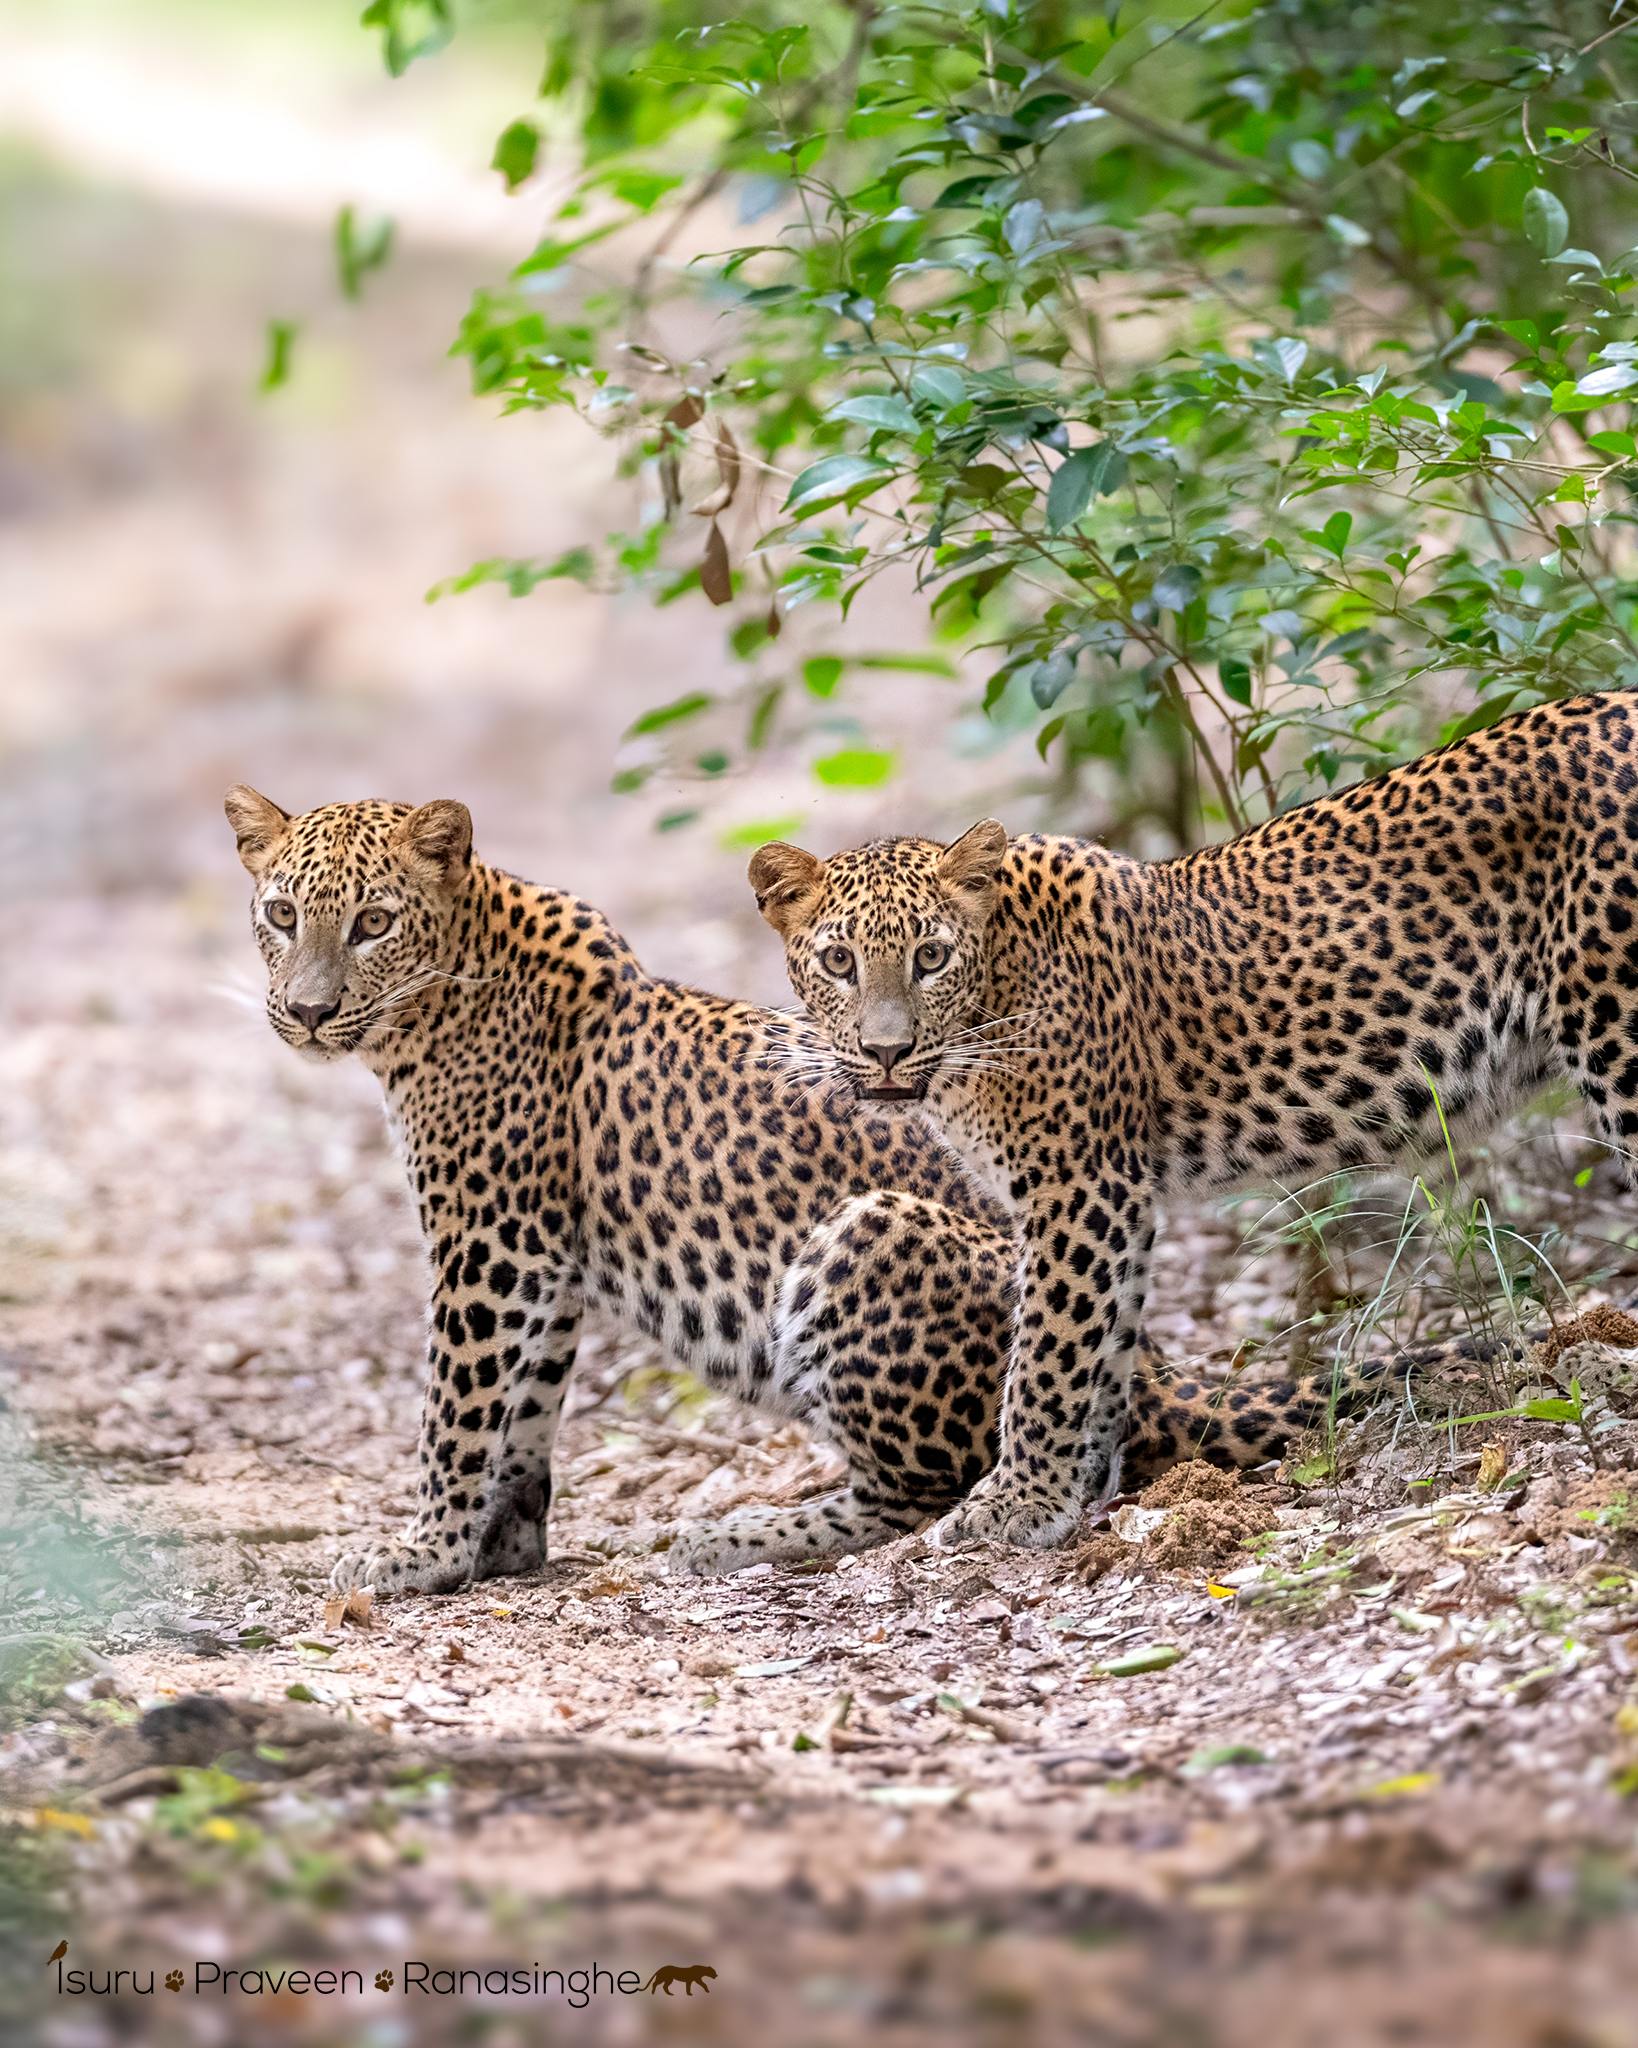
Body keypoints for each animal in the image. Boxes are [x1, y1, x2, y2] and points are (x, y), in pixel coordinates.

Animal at [223, 785, 1421, 1591]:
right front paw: (502, 1548)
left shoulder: (492, 1241)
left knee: (928, 1487)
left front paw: (419, 1553)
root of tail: (1171, 1378)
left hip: (870, 1240)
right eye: (281, 915)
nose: (309, 1013)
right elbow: (524, 1414)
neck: (430, 1011)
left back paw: (743, 1533)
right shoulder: (543, 1258)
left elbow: (461, 1405)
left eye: (372, 922)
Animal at [749, 689, 1638, 1551]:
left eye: (930, 957)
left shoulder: (1079, 1186)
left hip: (1619, 1033)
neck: (990, 993)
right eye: (839, 962)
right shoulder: (1120, 1198)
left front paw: (1016, 1502)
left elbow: (1047, 1351)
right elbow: (1106, 1344)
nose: (886, 1051)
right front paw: (1087, 1484)